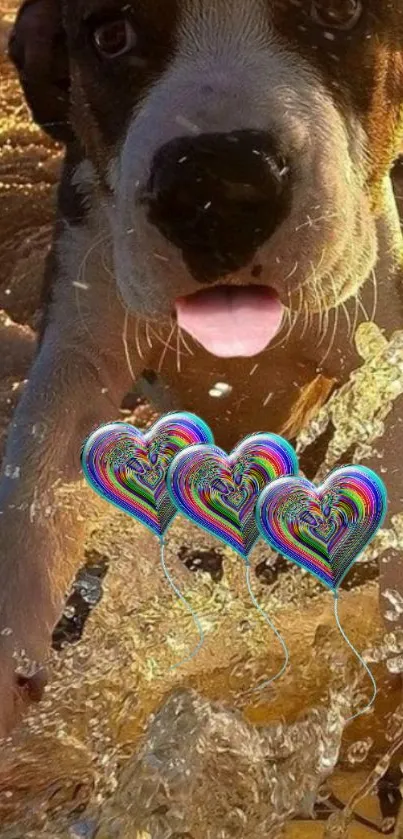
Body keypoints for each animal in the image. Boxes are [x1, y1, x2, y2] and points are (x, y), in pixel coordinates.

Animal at [2, 0, 403, 736]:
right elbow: (32, 492)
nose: (217, 182)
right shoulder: (80, 331)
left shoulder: (380, 332)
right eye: (111, 35)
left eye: (335, 12)